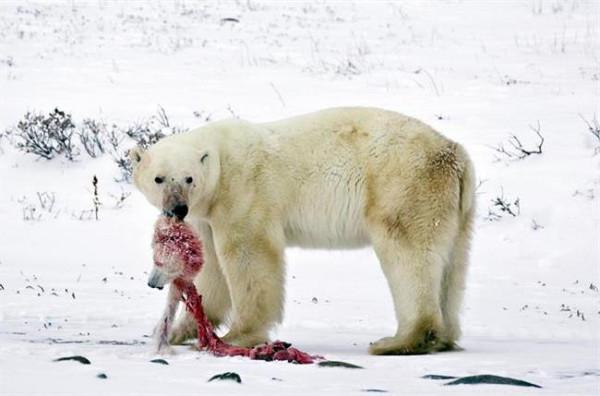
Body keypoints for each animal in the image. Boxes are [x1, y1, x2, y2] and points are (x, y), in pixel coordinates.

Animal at [129, 106, 476, 354]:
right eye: (159, 178)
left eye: (188, 178)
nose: (177, 209)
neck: (220, 160)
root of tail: (455, 152)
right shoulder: (207, 215)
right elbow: (212, 269)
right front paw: (179, 331)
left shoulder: (243, 191)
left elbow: (249, 256)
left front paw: (239, 335)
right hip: (456, 208)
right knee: (452, 265)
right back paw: (443, 336)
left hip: (403, 186)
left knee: (408, 256)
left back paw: (399, 341)